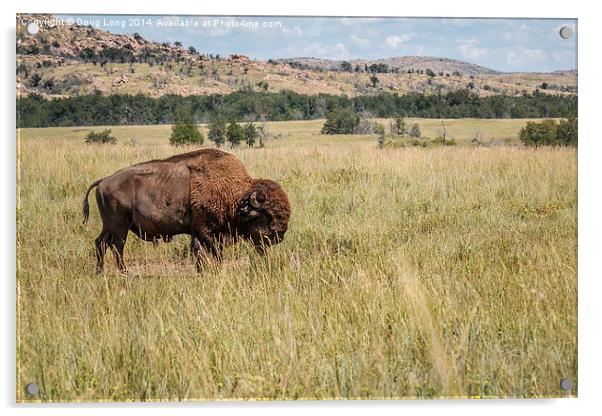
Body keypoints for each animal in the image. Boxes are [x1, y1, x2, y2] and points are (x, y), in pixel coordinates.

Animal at [82, 149, 290, 272]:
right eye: (268, 214)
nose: (279, 235)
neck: (234, 194)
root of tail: (103, 181)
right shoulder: (207, 231)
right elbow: (214, 253)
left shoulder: (199, 233)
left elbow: (199, 252)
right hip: (120, 226)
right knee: (117, 247)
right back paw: (124, 272)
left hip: (109, 225)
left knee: (101, 243)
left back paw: (100, 272)